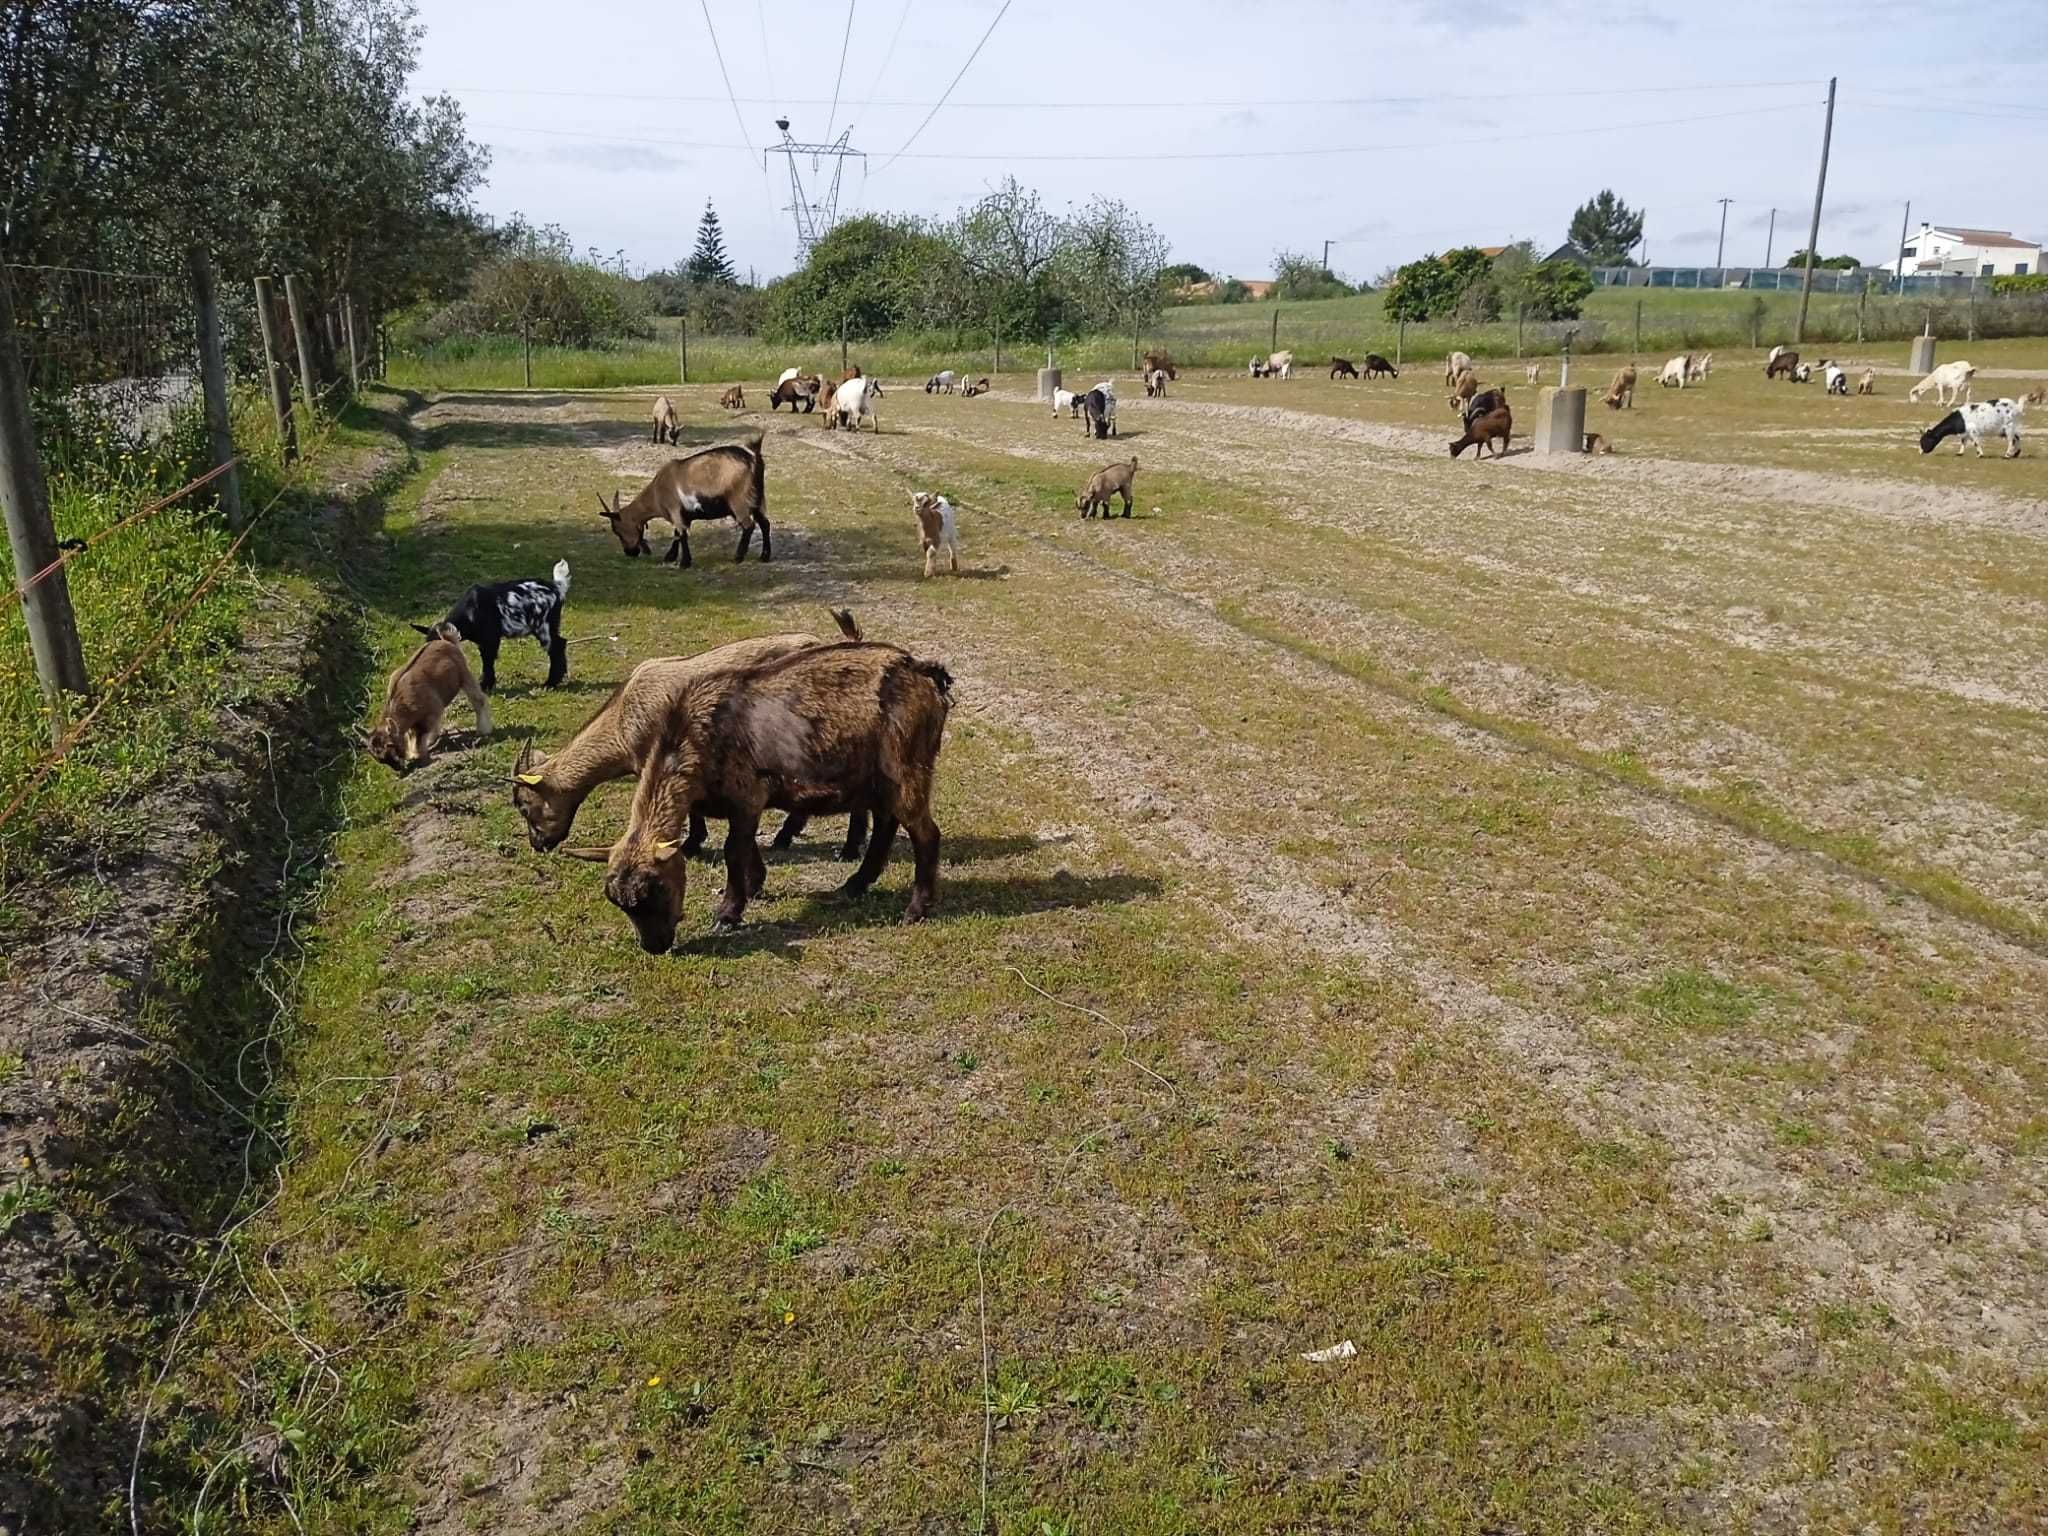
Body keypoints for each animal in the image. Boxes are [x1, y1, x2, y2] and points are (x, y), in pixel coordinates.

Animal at [366, 622, 489, 774]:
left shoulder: (431, 710)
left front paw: (418, 752)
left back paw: (483, 730)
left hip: (464, 674)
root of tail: (447, 640)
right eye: (375, 756)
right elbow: (413, 734)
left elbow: (420, 736)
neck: (401, 703)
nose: (398, 769)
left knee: (478, 700)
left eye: (390, 745)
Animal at [411, 561, 569, 692]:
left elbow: (488, 661)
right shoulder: (483, 641)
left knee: (555, 647)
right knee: (561, 643)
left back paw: (550, 683)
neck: (470, 612)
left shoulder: (491, 639)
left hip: (543, 626)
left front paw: (485, 685)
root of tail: (556, 588)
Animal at [565, 638, 954, 950]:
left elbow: (733, 852)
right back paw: (856, 883)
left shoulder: (746, 796)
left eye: (655, 889)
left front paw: (728, 912)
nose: (654, 947)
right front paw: (755, 885)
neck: (695, 736)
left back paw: (916, 908)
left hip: (907, 768)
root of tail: (918, 668)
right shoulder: (739, 806)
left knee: (925, 834)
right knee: (886, 824)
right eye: (619, 903)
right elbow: (744, 846)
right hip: (879, 779)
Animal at [606, 436, 774, 569]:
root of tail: (753, 459)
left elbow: (681, 534)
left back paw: (738, 557)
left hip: (739, 502)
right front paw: (671, 557)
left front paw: (684, 563)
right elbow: (677, 534)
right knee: (765, 523)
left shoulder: (674, 508)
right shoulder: (682, 514)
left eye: (617, 530)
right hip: (757, 500)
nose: (630, 552)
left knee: (749, 526)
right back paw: (764, 556)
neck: (657, 489)